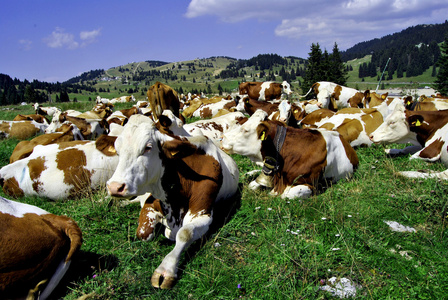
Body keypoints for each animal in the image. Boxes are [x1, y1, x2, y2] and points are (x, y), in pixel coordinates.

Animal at [106, 114, 240, 288]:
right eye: (117, 150)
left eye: (148, 147)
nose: (115, 187)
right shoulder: (151, 203)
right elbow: (143, 233)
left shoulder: (202, 212)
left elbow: (184, 233)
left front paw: (166, 268)